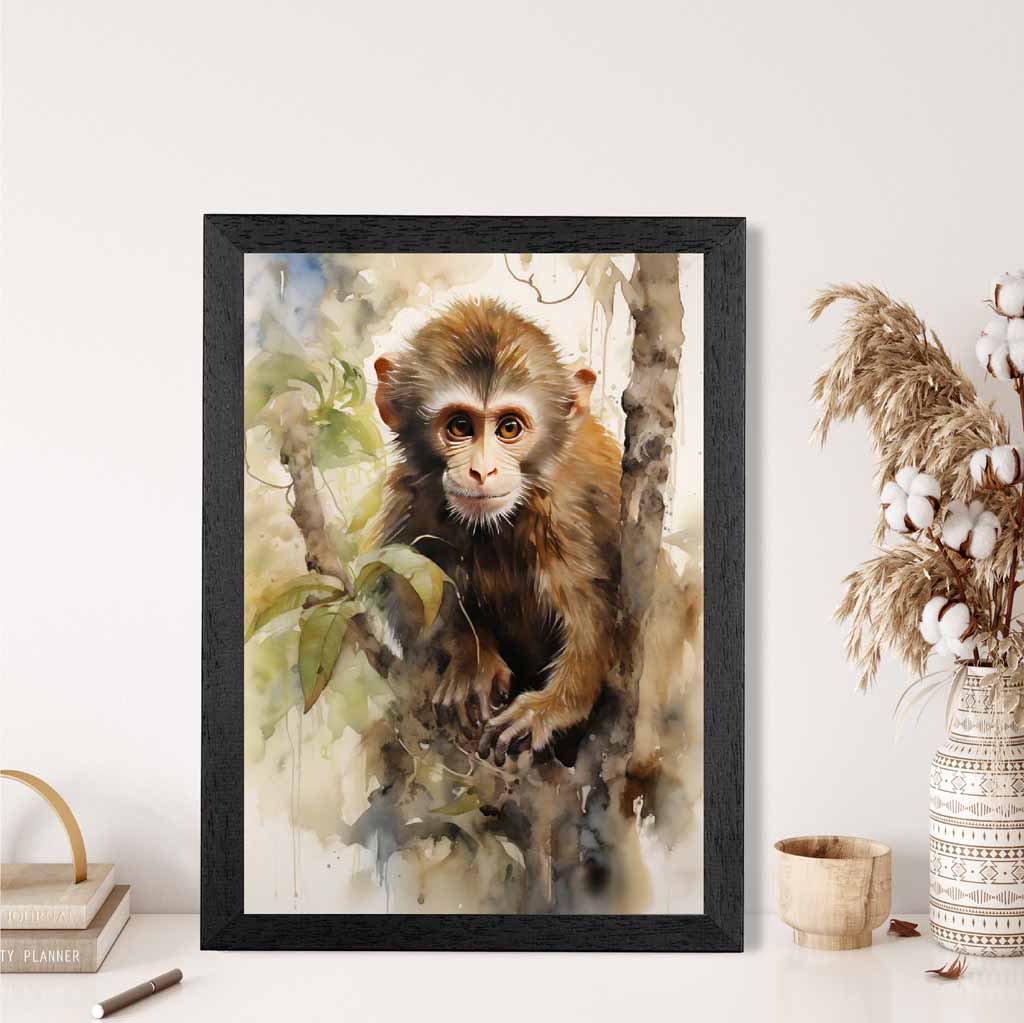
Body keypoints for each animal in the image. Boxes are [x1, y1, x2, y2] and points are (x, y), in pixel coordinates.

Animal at [372, 297, 622, 768]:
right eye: (459, 427)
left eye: (509, 428)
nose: (482, 470)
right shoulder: (415, 502)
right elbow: (408, 593)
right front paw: (471, 658)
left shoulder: (567, 516)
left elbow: (598, 618)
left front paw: (552, 707)